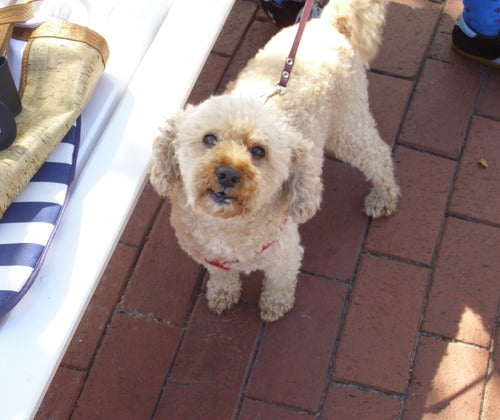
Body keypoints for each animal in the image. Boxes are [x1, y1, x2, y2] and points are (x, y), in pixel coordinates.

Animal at [149, 0, 399, 322]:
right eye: (209, 139)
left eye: (258, 151)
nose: (228, 174)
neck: (226, 228)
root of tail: (327, 23)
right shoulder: (209, 258)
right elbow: (222, 276)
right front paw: (223, 294)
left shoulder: (286, 254)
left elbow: (280, 283)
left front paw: (274, 306)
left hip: (348, 126)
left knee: (378, 155)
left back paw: (383, 197)